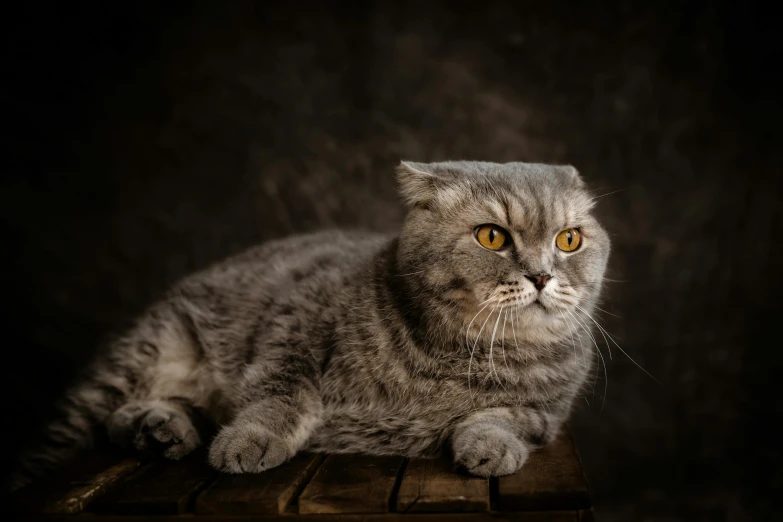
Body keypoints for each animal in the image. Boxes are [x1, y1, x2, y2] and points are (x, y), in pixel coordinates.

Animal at [13, 158, 612, 488]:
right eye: (492, 236)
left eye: (569, 239)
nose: (541, 275)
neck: (457, 357)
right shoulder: (293, 324)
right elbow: (282, 396)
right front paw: (249, 439)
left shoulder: (545, 414)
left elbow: (501, 418)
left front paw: (490, 446)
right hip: (135, 360)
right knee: (74, 435)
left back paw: (162, 429)